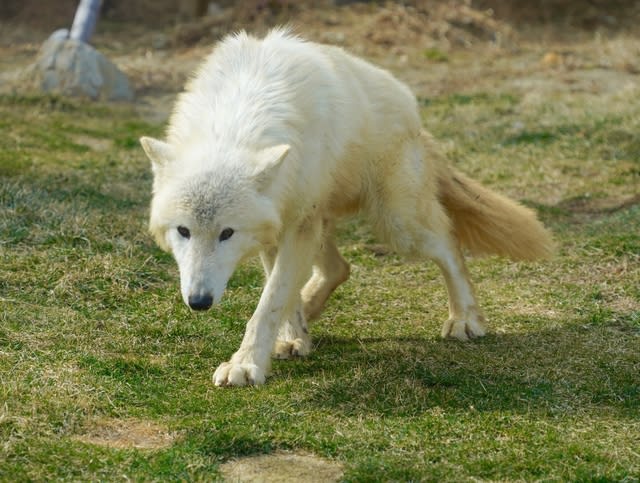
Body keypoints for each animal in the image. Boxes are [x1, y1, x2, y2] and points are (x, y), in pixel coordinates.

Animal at [139, 28, 552, 388]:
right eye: (183, 231)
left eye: (227, 233)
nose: (199, 302)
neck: (234, 123)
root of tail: (416, 118)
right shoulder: (281, 225)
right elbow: (279, 295)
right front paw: (290, 338)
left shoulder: (296, 225)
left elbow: (269, 302)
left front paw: (246, 364)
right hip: (327, 222)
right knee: (339, 269)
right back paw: (304, 320)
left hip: (397, 225)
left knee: (448, 243)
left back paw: (465, 319)